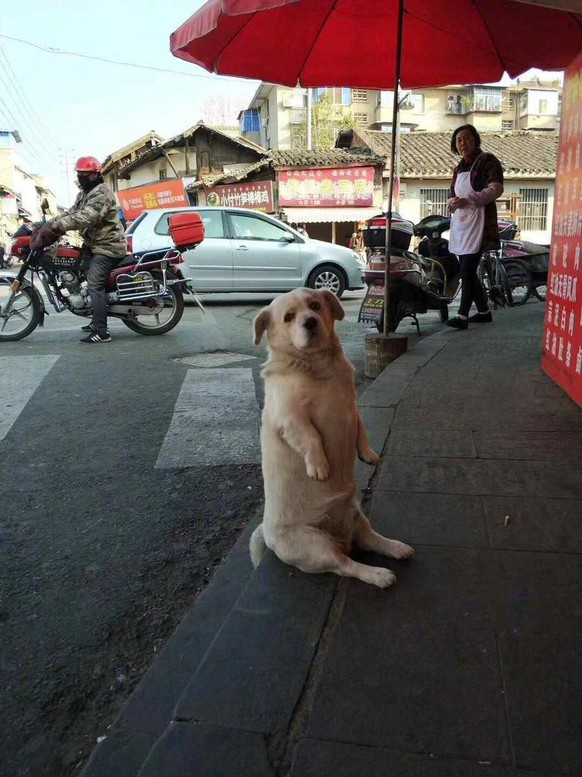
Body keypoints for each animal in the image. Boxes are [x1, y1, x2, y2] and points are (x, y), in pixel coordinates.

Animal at [251, 286, 416, 588]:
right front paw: (319, 466)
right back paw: (378, 575)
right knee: (346, 565)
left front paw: (367, 453)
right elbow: (311, 436)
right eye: (289, 317)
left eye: (315, 305)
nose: (310, 321)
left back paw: (396, 548)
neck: (317, 366)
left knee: (371, 540)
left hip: (356, 516)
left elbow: (361, 429)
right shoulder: (290, 416)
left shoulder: (352, 407)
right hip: (316, 547)